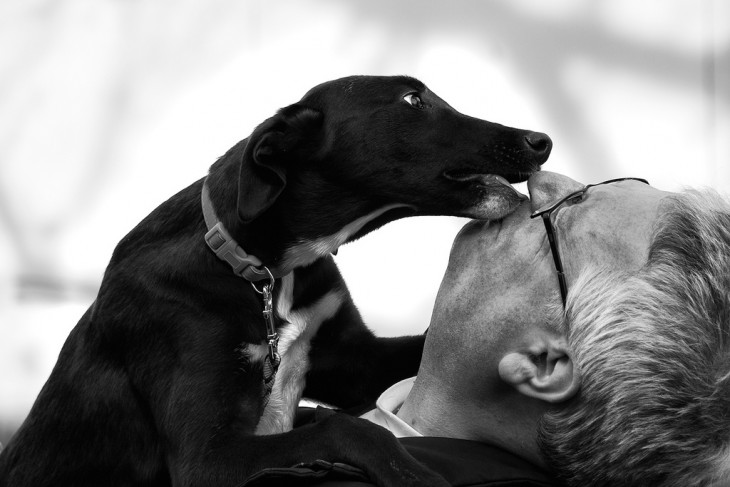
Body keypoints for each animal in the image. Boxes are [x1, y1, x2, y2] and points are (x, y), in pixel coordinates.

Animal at [0, 74, 544, 486]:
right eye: (413, 99)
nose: (542, 141)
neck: (263, 275)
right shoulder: (209, 458)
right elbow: (347, 429)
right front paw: (415, 475)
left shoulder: (356, 362)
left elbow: (412, 354)